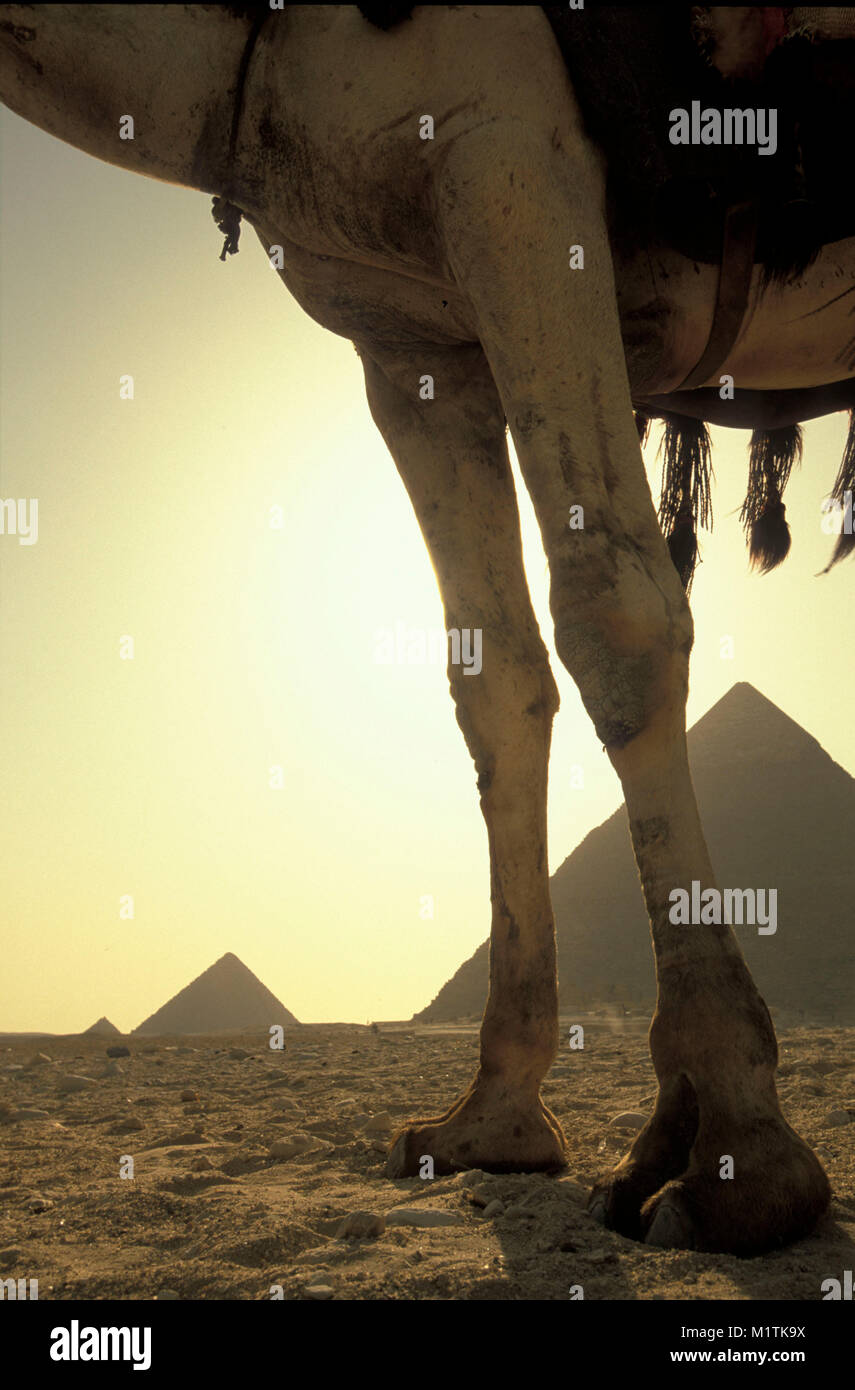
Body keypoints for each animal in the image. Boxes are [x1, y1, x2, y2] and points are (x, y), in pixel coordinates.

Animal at [1, 4, 851, 1256]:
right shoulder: (408, 337)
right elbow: (493, 671)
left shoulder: (513, 158)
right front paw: (493, 1118)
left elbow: (613, 606)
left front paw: (739, 1151)